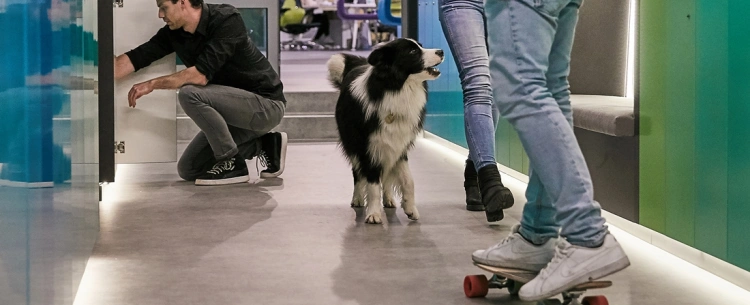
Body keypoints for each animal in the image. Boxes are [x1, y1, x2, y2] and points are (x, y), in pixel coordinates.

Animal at [326, 38, 444, 223]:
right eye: (412, 52)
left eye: (421, 45)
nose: (441, 51)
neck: (395, 89)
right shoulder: (369, 148)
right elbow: (373, 184)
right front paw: (373, 214)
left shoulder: (399, 146)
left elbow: (408, 180)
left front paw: (410, 208)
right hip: (354, 145)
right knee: (358, 173)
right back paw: (357, 198)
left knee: (387, 174)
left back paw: (388, 199)